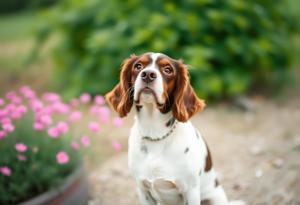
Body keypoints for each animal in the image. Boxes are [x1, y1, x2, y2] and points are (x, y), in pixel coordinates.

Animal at [105, 52, 246, 205]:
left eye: (168, 70)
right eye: (138, 66)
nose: (148, 74)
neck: (155, 132)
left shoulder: (191, 190)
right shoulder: (143, 189)